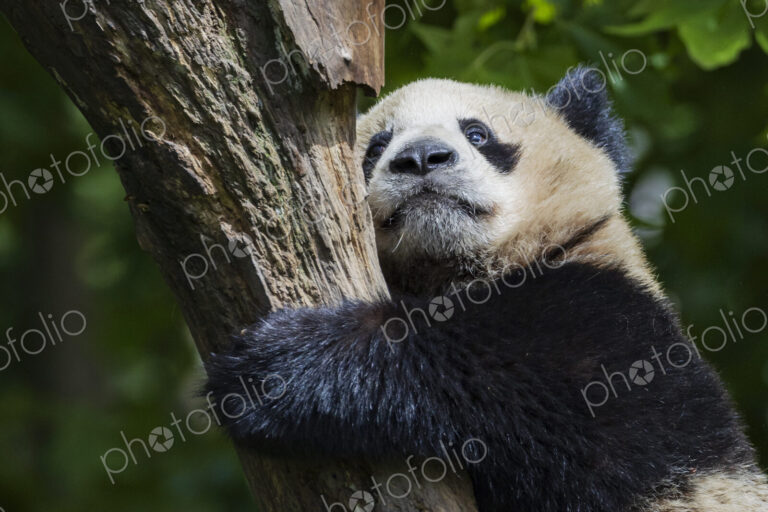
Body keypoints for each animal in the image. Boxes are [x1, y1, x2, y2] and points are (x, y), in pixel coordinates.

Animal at [205, 66, 768, 511]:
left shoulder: (619, 334)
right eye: (377, 146)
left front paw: (280, 368)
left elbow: (521, 391)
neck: (457, 270)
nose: (422, 158)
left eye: (477, 133)